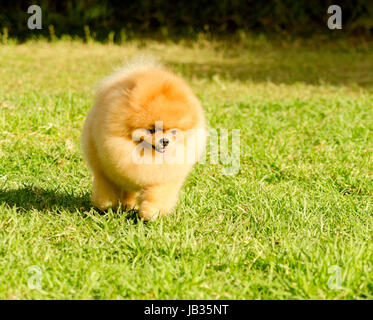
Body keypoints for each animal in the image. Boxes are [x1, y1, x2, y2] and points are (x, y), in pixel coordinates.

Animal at [81, 57, 206, 221]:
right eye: (151, 130)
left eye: (174, 131)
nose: (165, 141)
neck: (148, 156)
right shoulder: (106, 171)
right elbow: (107, 188)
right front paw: (106, 206)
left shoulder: (164, 177)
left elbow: (158, 195)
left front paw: (150, 213)